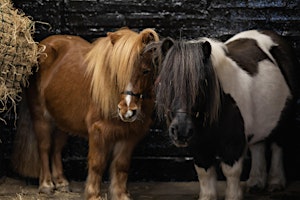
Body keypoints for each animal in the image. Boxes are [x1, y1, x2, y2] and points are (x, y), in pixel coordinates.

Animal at [12, 28, 159, 200]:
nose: (127, 111)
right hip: (41, 117)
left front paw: (121, 195)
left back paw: (61, 182)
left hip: (62, 121)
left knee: (56, 148)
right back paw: (46, 185)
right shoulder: (98, 132)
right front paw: (93, 195)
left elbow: (121, 166)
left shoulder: (129, 135)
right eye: (116, 72)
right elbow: (97, 164)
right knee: (44, 147)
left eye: (146, 71)